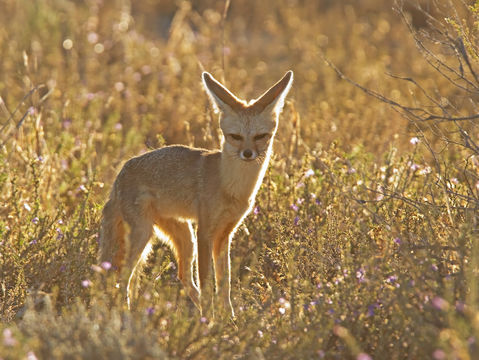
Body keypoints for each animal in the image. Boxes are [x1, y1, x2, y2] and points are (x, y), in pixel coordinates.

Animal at [100, 69, 294, 316]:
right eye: (235, 136)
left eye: (261, 136)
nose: (248, 154)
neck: (230, 186)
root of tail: (120, 176)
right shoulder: (205, 232)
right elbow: (207, 281)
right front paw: (210, 319)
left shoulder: (225, 234)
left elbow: (224, 283)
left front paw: (227, 318)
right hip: (145, 235)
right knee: (122, 278)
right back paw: (127, 314)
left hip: (185, 237)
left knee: (183, 276)